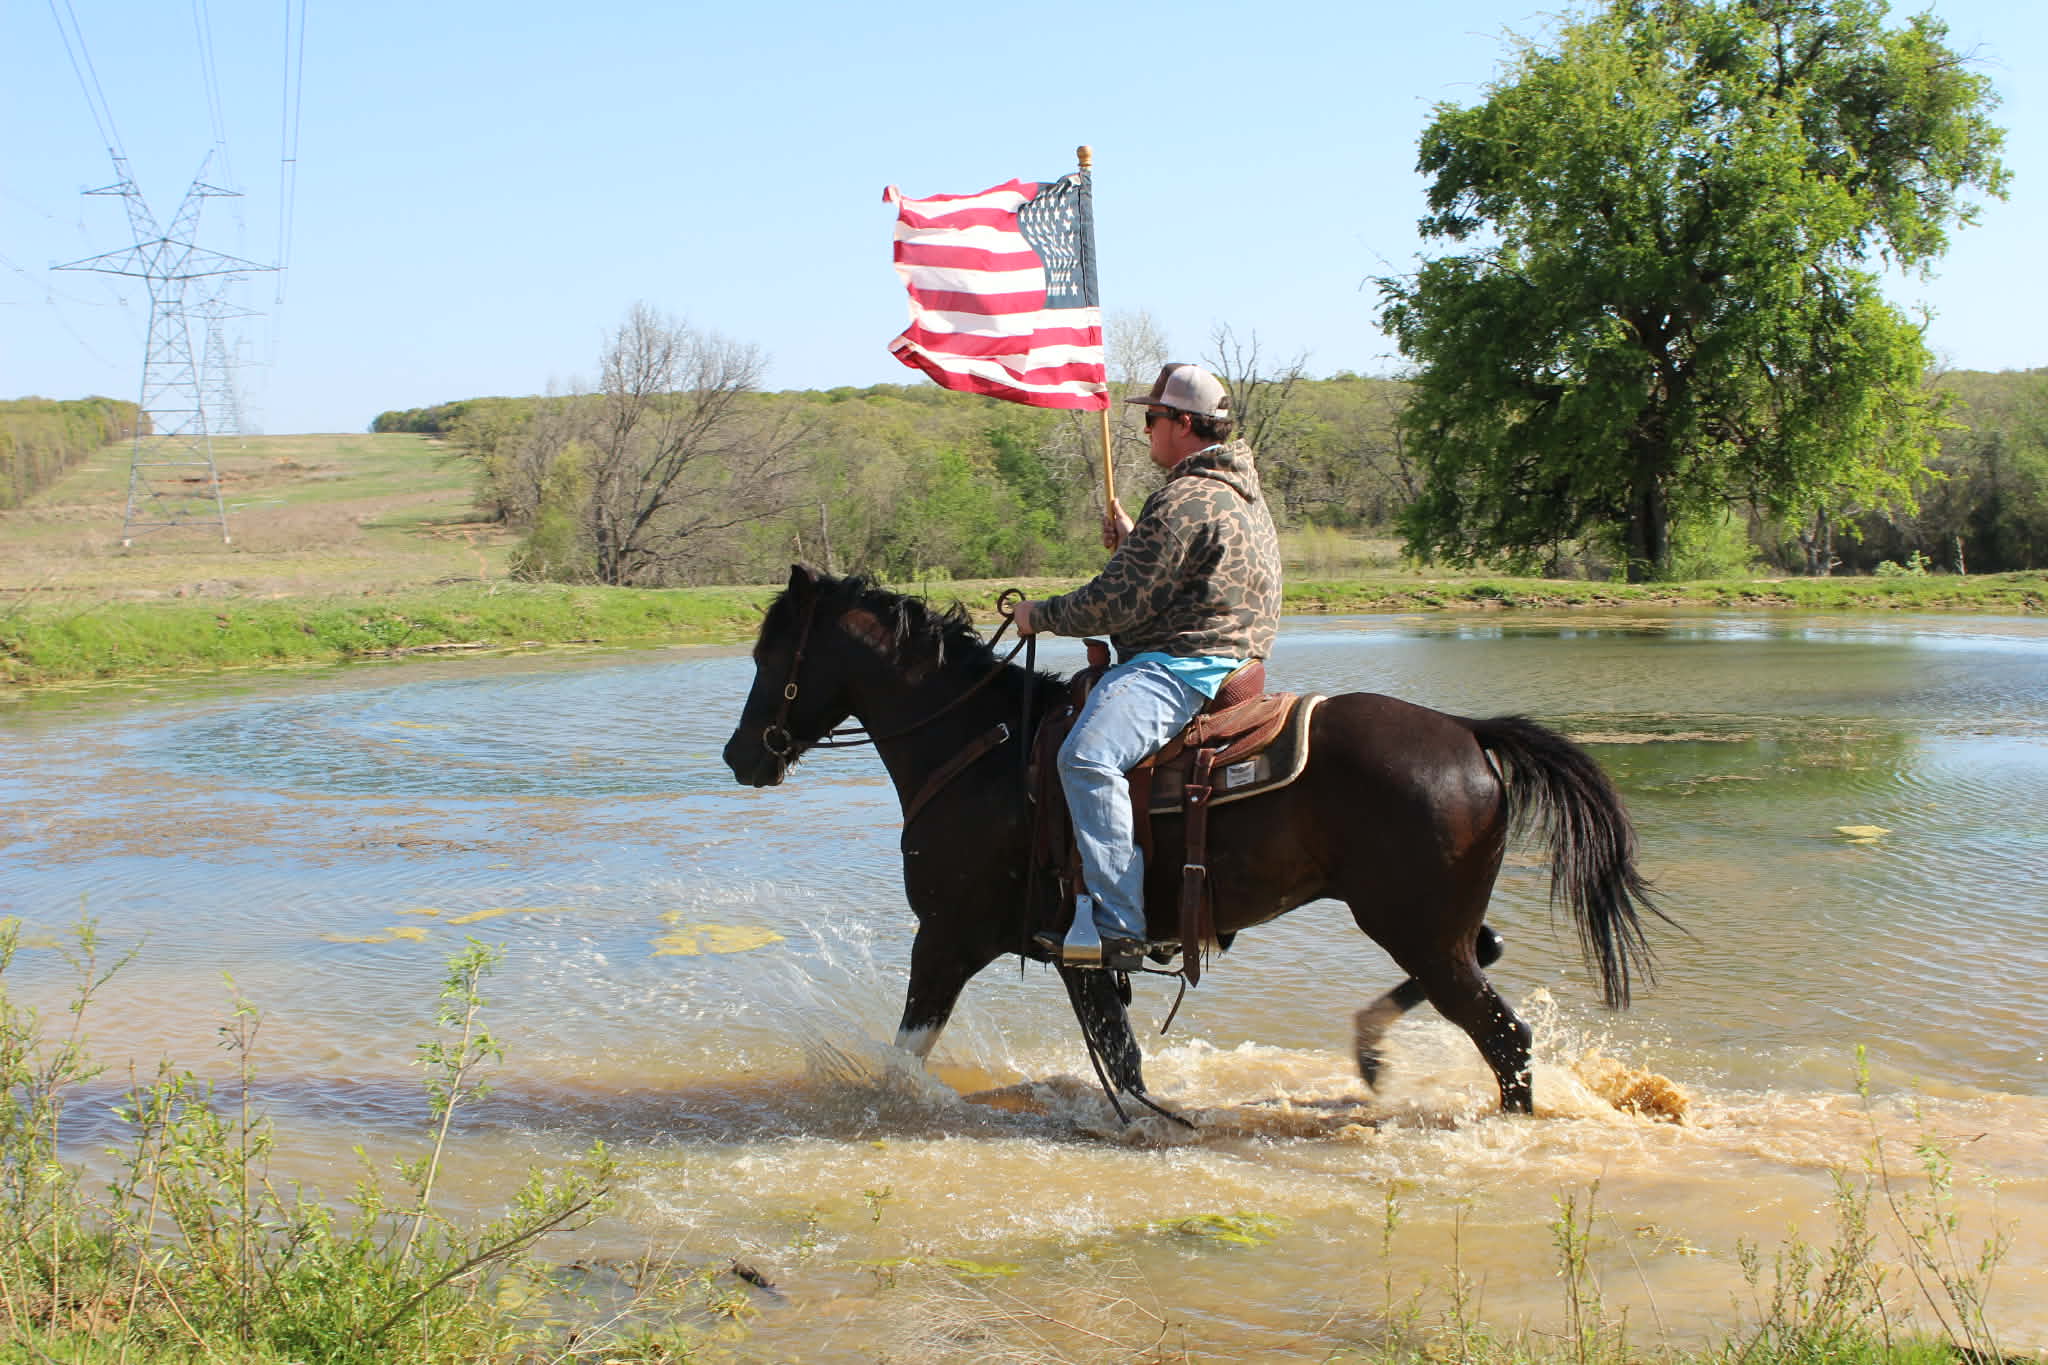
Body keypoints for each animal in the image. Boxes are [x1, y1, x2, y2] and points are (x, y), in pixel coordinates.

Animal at [721, 565, 1664, 1115]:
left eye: (771, 653)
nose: (739, 754)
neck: (981, 747)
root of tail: (1469, 733)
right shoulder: (1078, 959)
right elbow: (1125, 1062)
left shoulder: (947, 938)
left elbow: (904, 1060)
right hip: (1435, 929)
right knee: (1486, 967)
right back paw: (1368, 1048)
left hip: (1418, 930)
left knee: (1507, 1039)